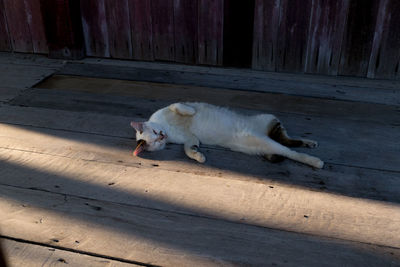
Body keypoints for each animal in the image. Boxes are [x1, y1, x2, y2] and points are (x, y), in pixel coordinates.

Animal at [131, 102, 324, 170]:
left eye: (155, 133)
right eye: (156, 142)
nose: (162, 136)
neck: (169, 129)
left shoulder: (173, 107)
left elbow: (180, 106)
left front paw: (191, 111)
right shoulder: (190, 139)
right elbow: (189, 150)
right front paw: (199, 156)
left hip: (270, 118)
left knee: (287, 143)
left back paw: (313, 149)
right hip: (260, 143)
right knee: (285, 147)